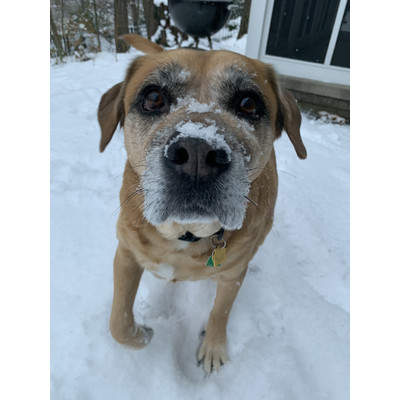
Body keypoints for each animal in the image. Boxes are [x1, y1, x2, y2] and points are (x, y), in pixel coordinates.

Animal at [97, 34, 306, 376]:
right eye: (153, 97)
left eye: (248, 103)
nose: (196, 155)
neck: (185, 232)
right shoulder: (125, 252)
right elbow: (118, 323)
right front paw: (142, 334)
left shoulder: (233, 274)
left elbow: (220, 311)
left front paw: (213, 347)